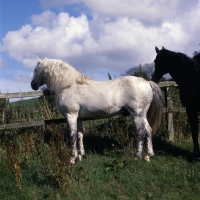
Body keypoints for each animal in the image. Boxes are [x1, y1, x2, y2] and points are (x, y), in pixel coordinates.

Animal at [30, 57, 162, 162]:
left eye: (36, 70)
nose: (32, 85)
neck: (68, 85)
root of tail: (146, 82)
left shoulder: (71, 116)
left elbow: (72, 136)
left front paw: (72, 158)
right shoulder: (78, 118)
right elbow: (79, 135)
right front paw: (81, 156)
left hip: (137, 114)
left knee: (141, 132)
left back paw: (138, 156)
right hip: (142, 115)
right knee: (148, 130)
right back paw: (149, 155)